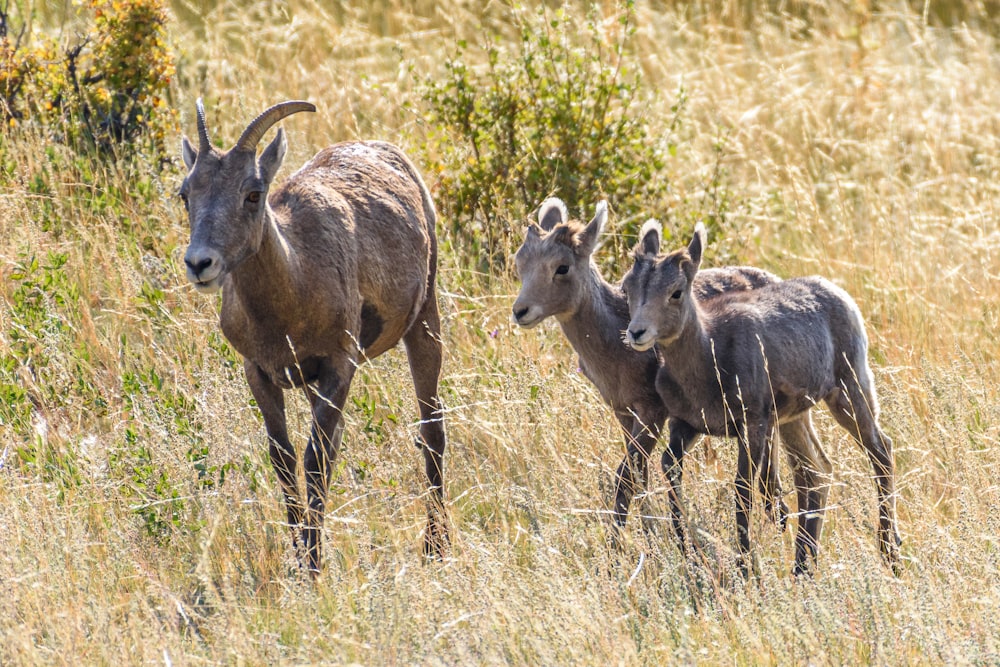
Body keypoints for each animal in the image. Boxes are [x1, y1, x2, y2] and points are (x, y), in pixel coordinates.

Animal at [178, 99, 448, 576]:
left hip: (425, 322)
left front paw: (315, 566)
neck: (297, 279)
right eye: (185, 193)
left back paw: (435, 548)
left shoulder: (339, 366)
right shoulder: (261, 373)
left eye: (253, 193)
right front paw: (300, 560)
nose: (199, 263)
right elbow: (285, 461)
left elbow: (315, 461)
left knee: (432, 430)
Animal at [512, 198, 800, 552]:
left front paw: (619, 549)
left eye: (562, 267)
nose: (520, 311)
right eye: (521, 260)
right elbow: (640, 477)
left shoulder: (652, 412)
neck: (615, 342)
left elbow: (626, 475)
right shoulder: (624, 413)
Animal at [620, 220, 904, 576]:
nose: (636, 333)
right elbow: (670, 472)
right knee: (815, 471)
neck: (708, 358)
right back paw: (802, 566)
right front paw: (687, 548)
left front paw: (747, 568)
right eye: (628, 289)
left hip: (849, 392)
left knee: (880, 451)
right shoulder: (684, 427)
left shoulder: (752, 425)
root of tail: (837, 293)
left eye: (676, 292)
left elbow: (743, 492)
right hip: (795, 418)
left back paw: (890, 552)